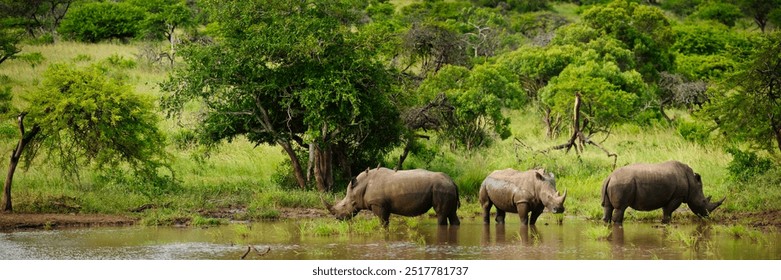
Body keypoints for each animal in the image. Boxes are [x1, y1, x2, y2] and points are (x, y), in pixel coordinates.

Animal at [322, 167, 460, 226]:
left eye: (344, 205)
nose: (338, 218)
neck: (359, 187)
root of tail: (453, 181)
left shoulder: (378, 204)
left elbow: (383, 223)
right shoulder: (384, 205)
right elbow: (386, 221)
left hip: (441, 189)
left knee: (441, 214)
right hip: (447, 188)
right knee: (452, 214)